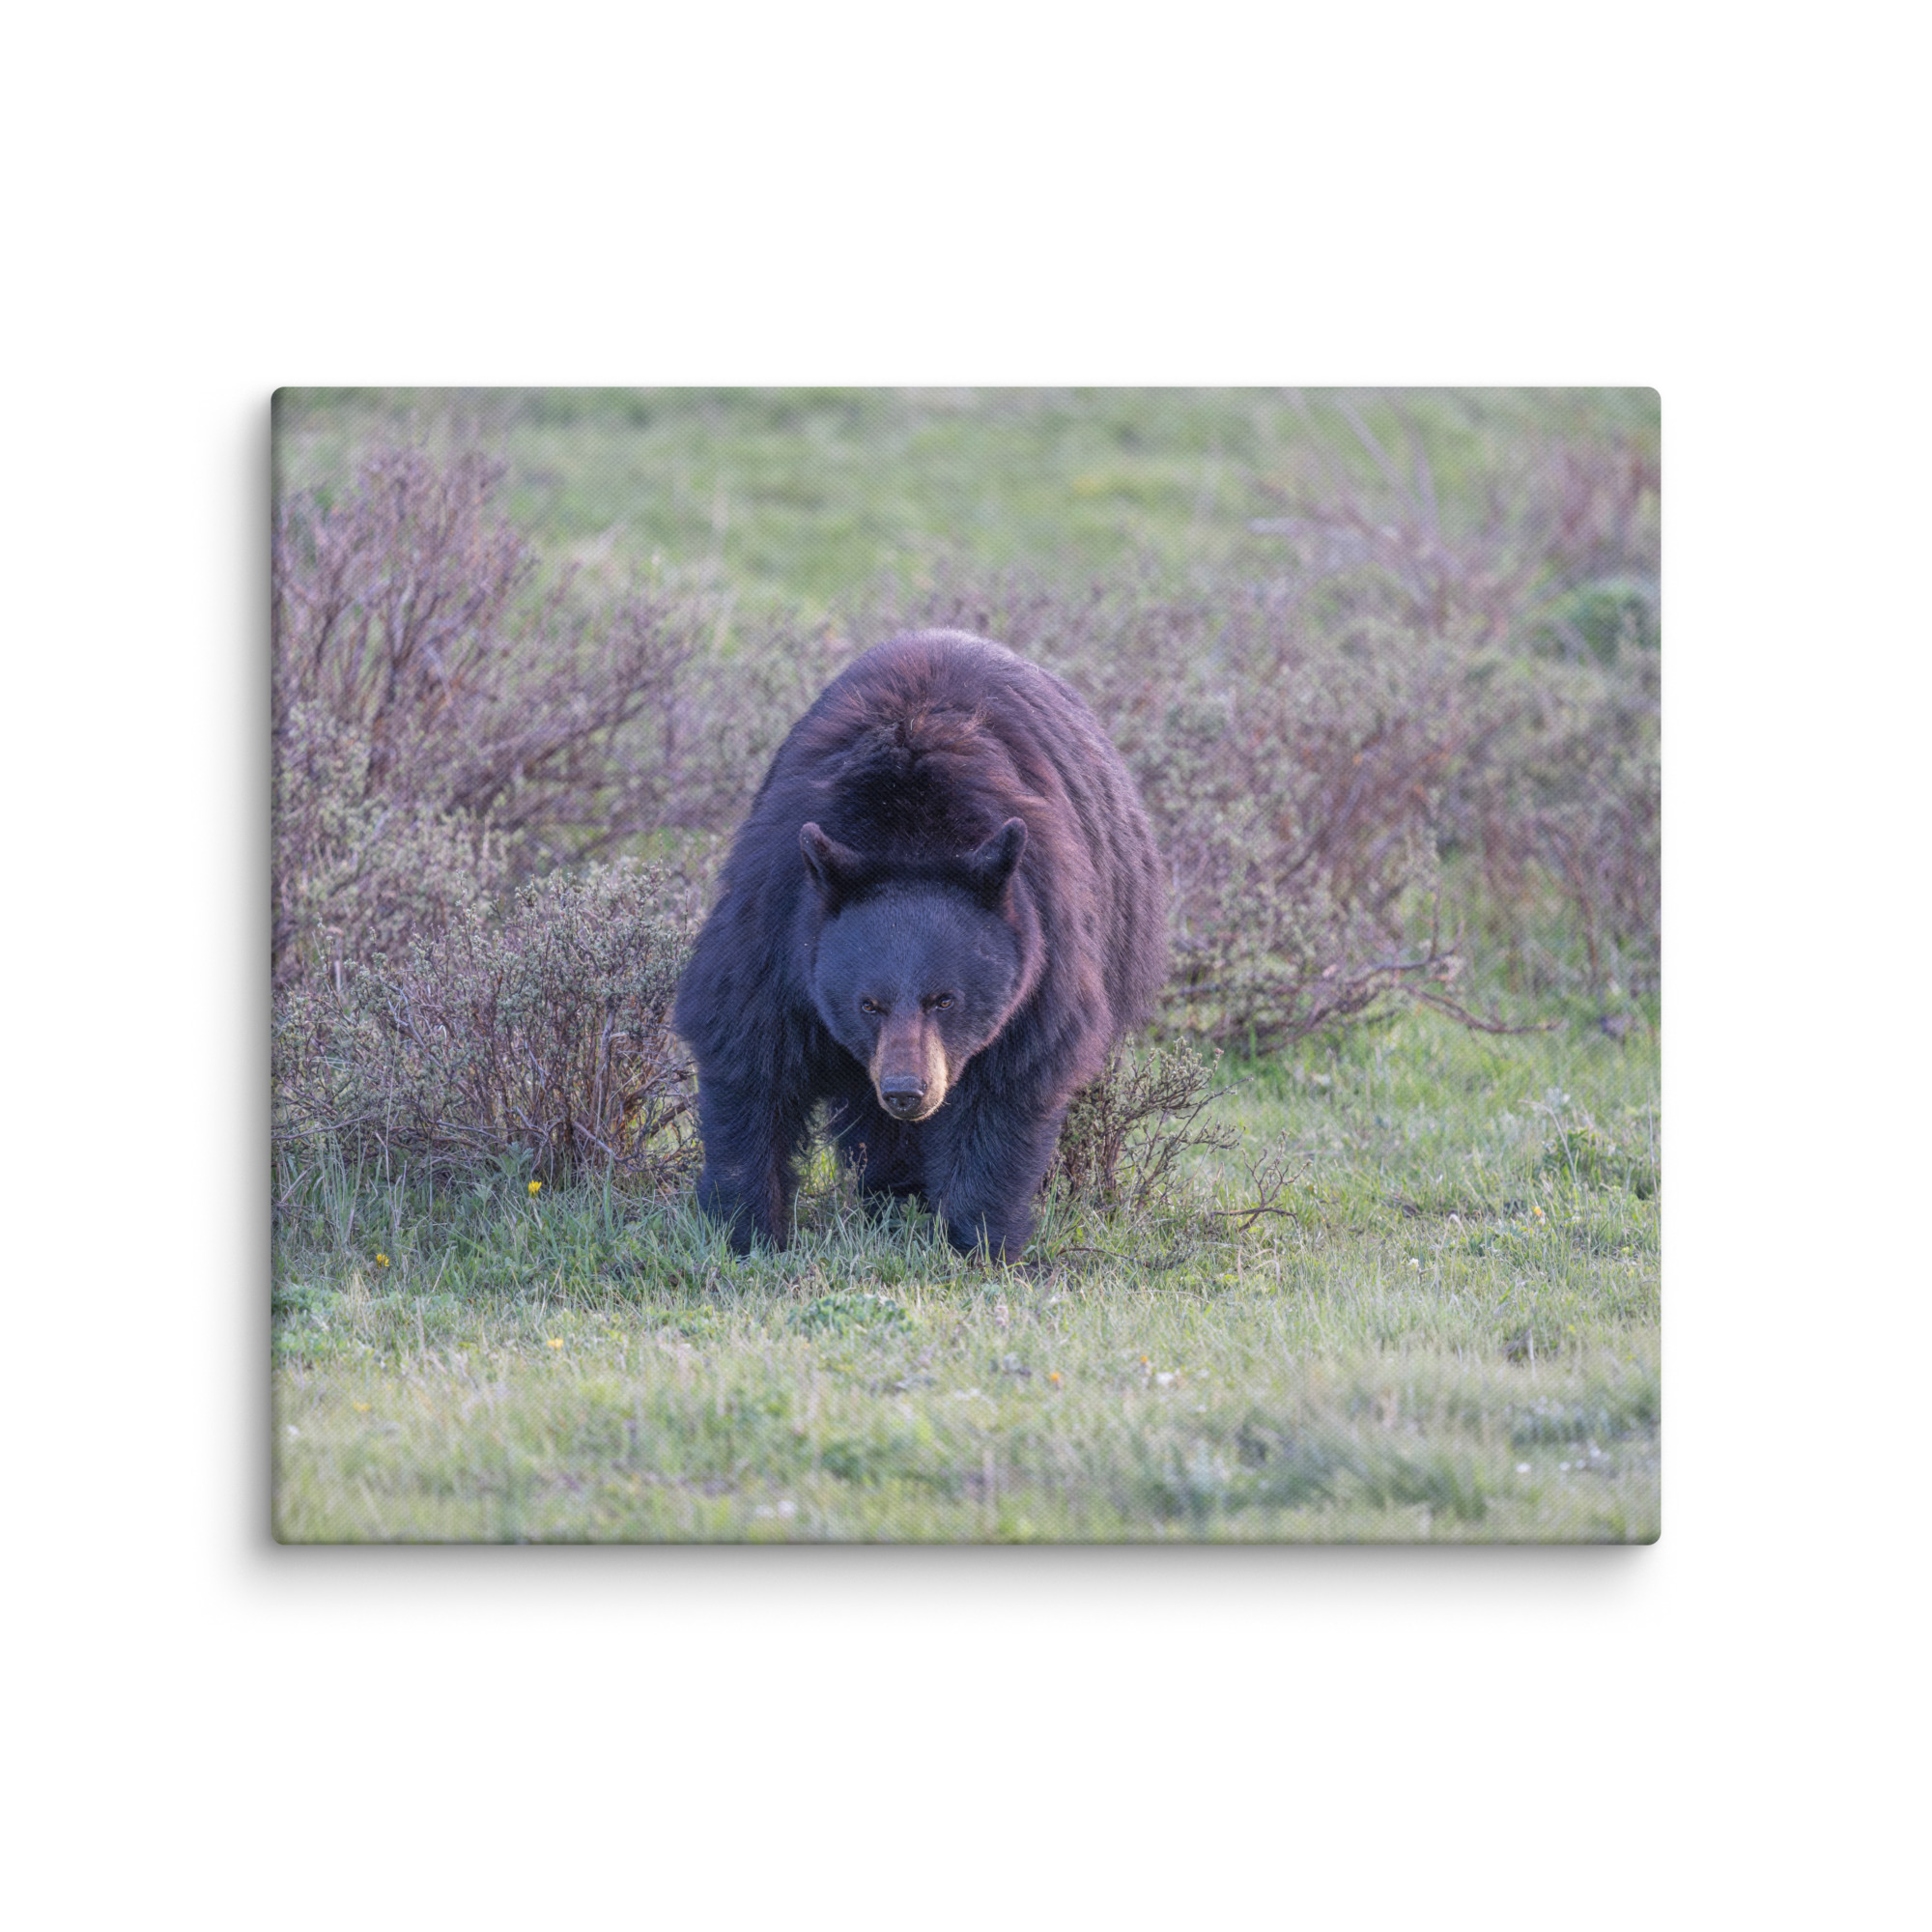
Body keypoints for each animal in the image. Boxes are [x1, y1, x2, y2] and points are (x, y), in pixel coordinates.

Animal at [673, 630, 1168, 1262]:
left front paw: (980, 1240)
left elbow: (1009, 1084)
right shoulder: (778, 919)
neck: (909, 833)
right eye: (868, 1004)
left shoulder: (1044, 942)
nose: (907, 1092)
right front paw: (746, 1229)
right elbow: (748, 1052)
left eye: (945, 999)